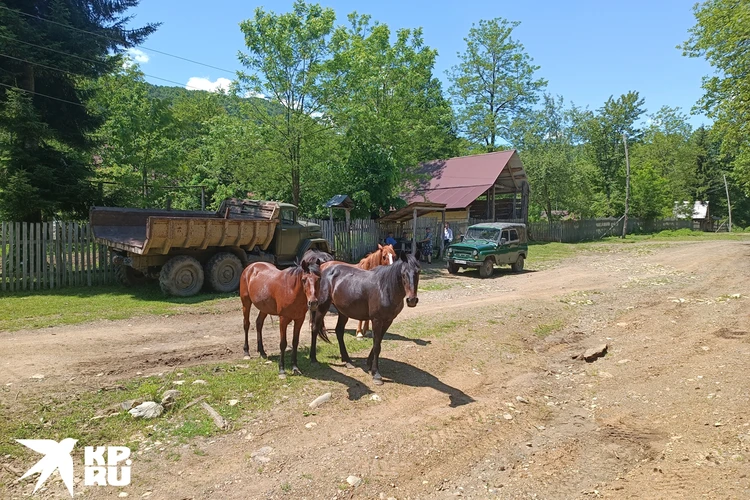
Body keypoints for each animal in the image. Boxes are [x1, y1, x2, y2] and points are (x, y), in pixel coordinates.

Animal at [312, 252, 424, 384]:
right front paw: (376, 374)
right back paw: (313, 359)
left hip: (343, 311)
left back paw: (347, 361)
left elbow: (378, 343)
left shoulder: (388, 321)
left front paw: (370, 365)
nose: (412, 300)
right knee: (315, 328)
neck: (385, 288)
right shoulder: (376, 320)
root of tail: (324, 269)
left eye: (418, 271)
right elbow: (376, 346)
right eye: (403, 273)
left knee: (339, 331)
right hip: (322, 307)